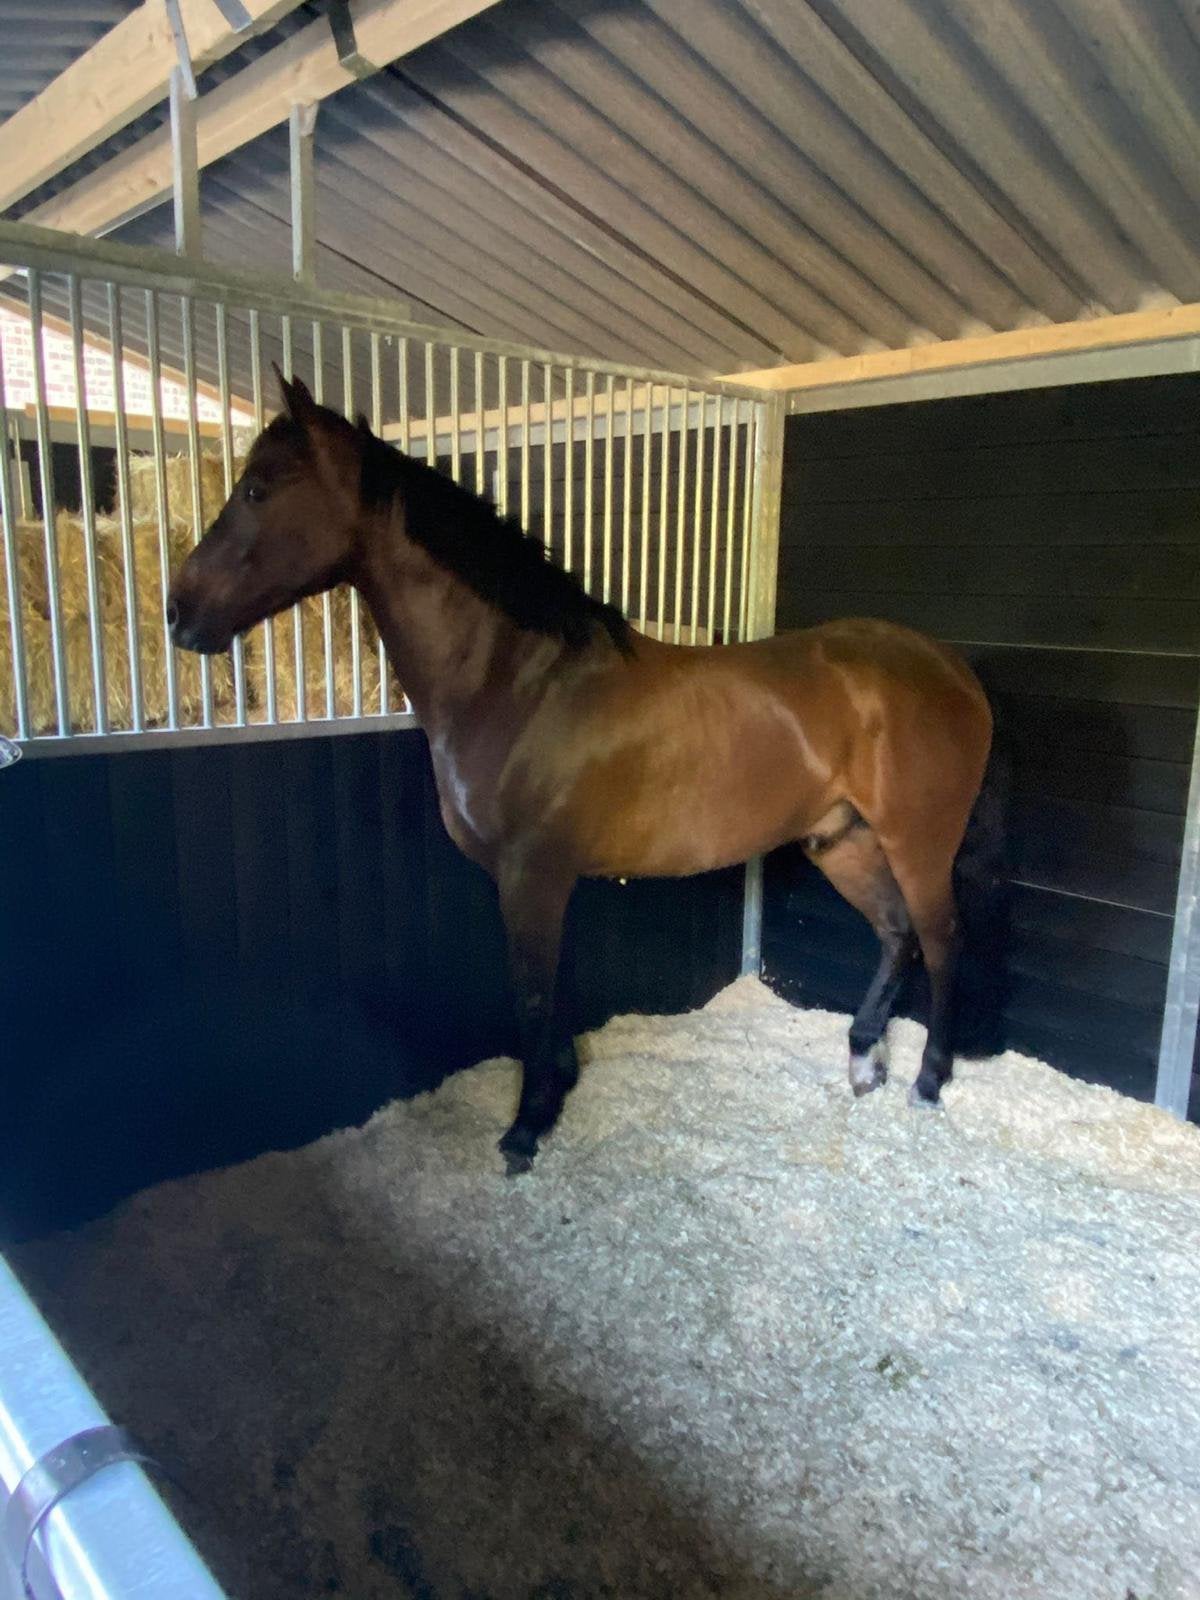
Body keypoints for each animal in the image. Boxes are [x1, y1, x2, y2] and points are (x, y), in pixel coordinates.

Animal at [168, 370, 1004, 1174]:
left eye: (257, 489)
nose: (179, 612)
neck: (519, 681)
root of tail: (949, 667)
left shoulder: (531, 873)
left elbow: (532, 995)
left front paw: (526, 1129)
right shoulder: (539, 879)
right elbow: (550, 988)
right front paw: (556, 1090)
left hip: (917, 842)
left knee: (942, 938)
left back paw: (929, 1080)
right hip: (843, 839)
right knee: (895, 934)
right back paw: (864, 1062)